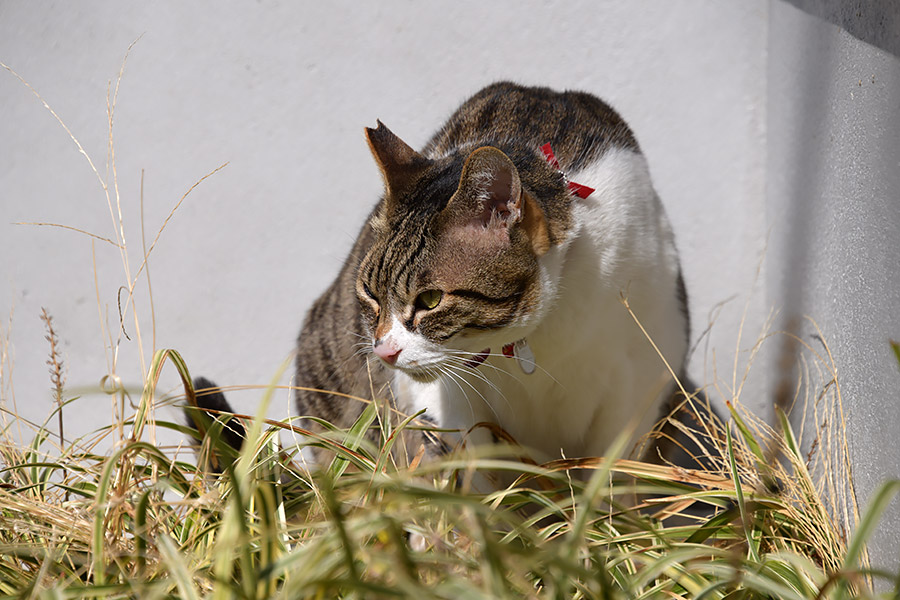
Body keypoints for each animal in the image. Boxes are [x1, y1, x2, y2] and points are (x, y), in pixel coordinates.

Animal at [190, 81, 700, 474]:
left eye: (431, 300)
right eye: (370, 294)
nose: (384, 351)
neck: (541, 337)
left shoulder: (639, 387)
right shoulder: (441, 402)